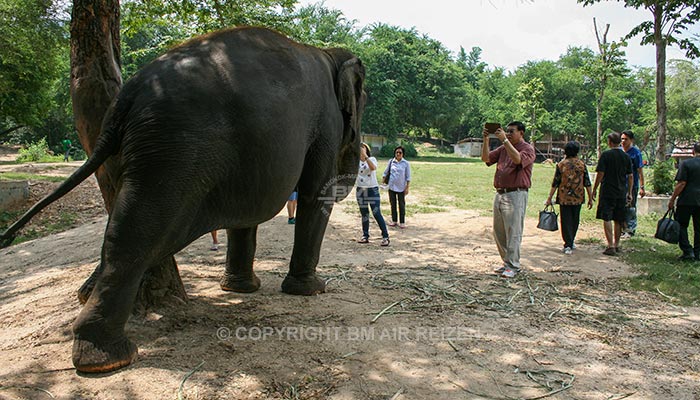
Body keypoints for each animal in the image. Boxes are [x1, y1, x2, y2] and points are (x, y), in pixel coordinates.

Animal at [1, 26, 366, 374]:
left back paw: (86, 297)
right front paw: (313, 289)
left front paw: (240, 289)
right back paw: (106, 359)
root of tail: (128, 94)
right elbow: (314, 194)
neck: (327, 54)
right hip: (174, 151)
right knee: (138, 232)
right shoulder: (327, 123)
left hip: (142, 154)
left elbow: (247, 213)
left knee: (127, 225)